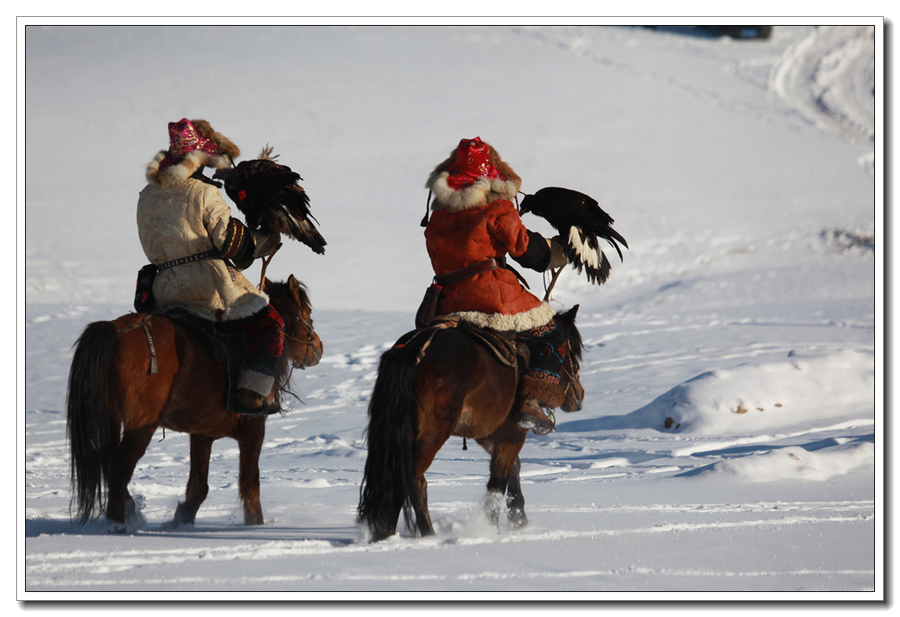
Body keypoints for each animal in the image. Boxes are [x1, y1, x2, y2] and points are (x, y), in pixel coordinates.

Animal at [66, 274, 324, 528]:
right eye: (308, 310)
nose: (319, 348)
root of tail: (116, 329)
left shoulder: (202, 433)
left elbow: (198, 486)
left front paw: (182, 520)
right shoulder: (253, 428)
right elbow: (250, 483)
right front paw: (256, 524)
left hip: (110, 417)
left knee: (107, 461)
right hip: (140, 424)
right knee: (120, 465)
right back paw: (117, 524)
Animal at [358, 306, 584, 540]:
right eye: (572, 352)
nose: (579, 397)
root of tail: (414, 350)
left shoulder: (489, 436)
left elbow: (513, 471)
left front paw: (519, 522)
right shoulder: (513, 435)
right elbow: (497, 484)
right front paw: (491, 530)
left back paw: (386, 533)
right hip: (433, 433)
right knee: (412, 480)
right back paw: (426, 533)